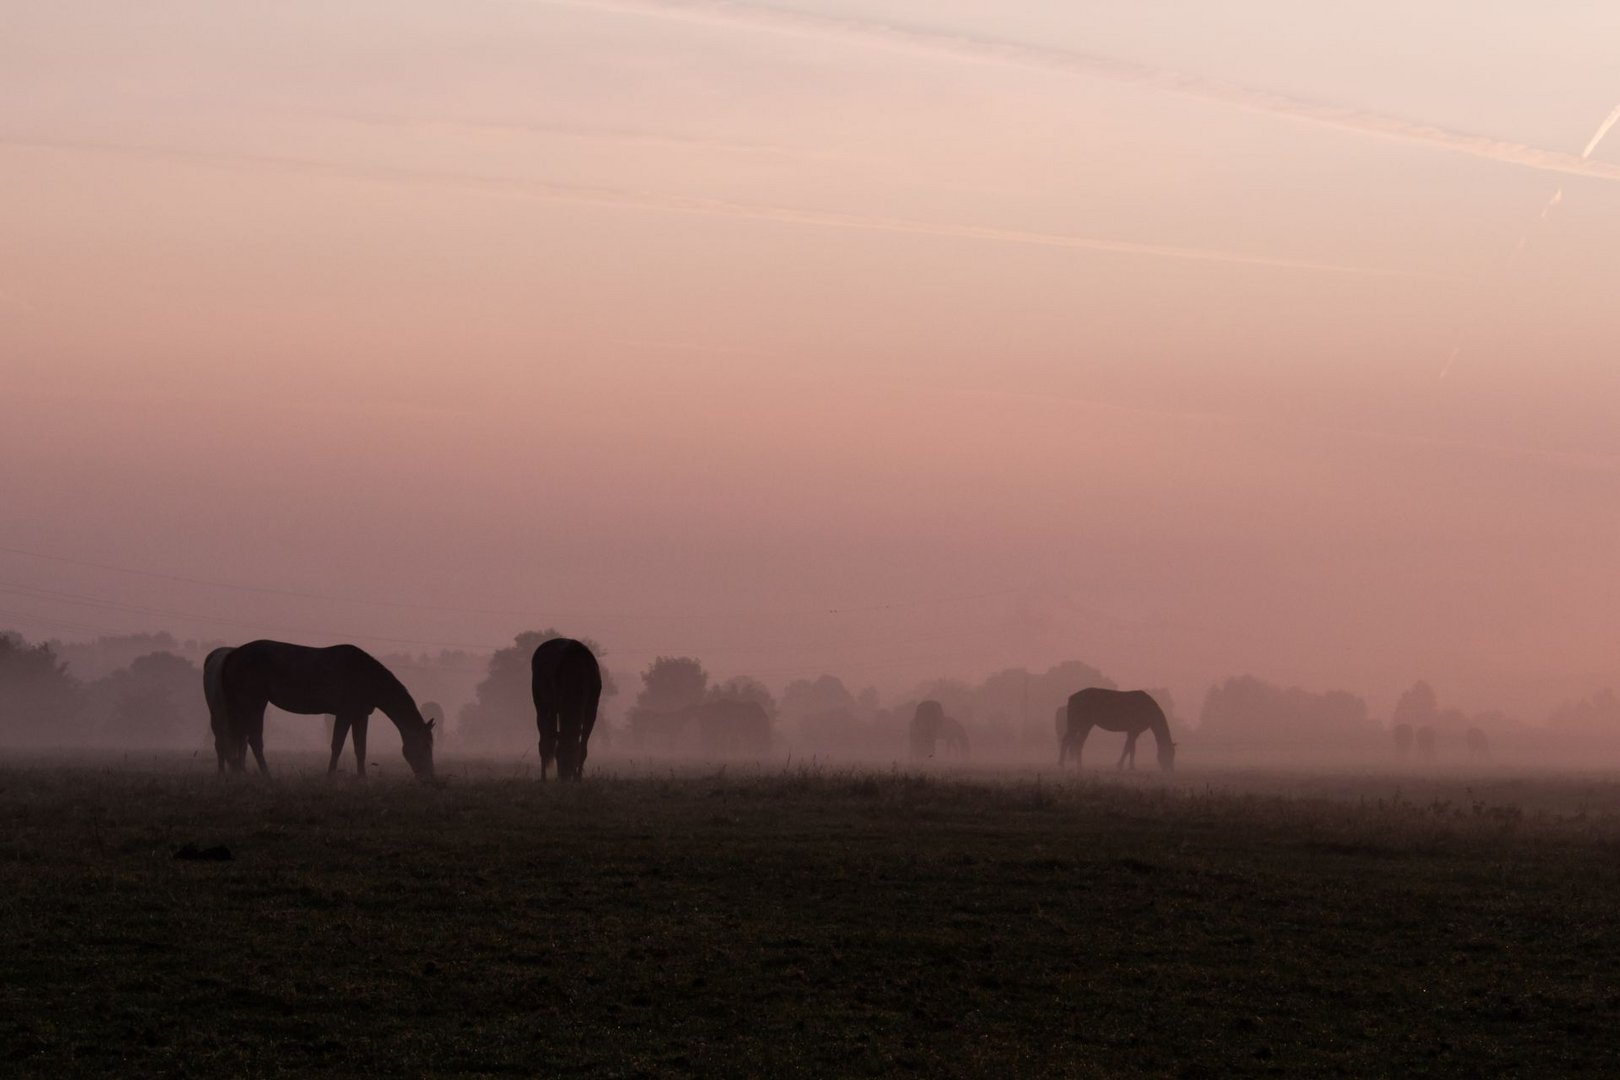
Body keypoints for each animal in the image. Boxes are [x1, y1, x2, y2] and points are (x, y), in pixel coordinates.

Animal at [531, 637, 602, 780]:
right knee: (543, 742)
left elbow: (583, 748)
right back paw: (543, 778)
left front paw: (578, 778)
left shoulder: (592, 709)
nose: (564, 777)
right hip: (541, 706)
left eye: (573, 755)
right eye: (557, 755)